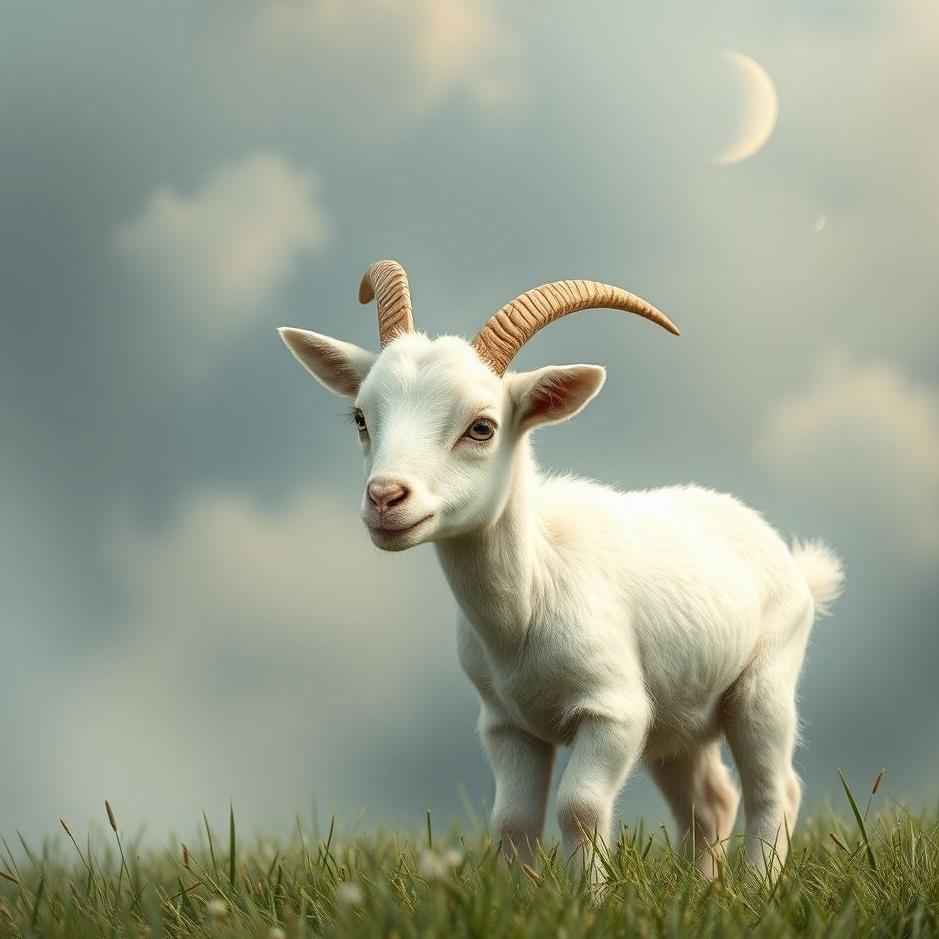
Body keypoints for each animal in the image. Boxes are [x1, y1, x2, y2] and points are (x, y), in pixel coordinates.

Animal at [278, 259, 844, 879]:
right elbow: (511, 821)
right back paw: (704, 889)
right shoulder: (506, 723)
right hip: (678, 721)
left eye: (482, 426)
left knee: (775, 790)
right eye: (361, 417)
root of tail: (796, 568)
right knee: (712, 800)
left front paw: (590, 897)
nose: (385, 498)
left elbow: (580, 808)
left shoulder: (615, 712)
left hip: (765, 683)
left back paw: (757, 888)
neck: (531, 595)